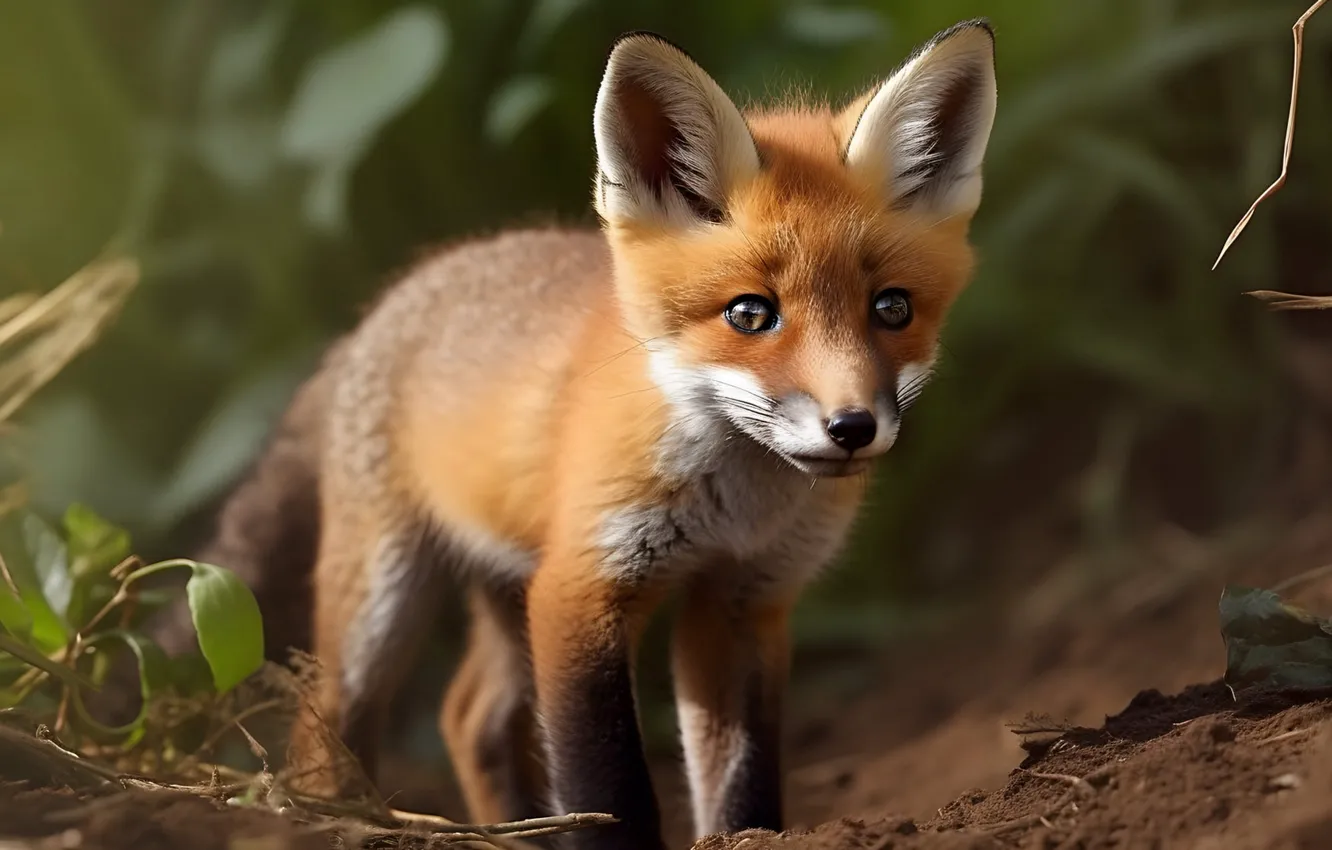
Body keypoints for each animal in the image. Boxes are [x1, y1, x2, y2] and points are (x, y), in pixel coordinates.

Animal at [180, 19, 998, 850]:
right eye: (749, 314)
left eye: (892, 309)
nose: (853, 427)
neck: (736, 506)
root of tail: (385, 304)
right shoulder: (581, 586)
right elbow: (605, 783)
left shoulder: (745, 597)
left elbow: (740, 779)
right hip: (384, 595)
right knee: (323, 724)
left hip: (506, 590)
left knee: (466, 715)